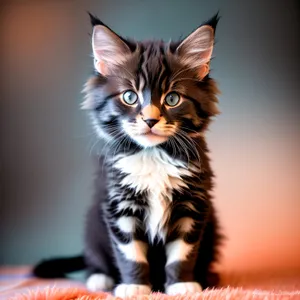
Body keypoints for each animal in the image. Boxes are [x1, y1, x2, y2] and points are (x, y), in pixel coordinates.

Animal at [34, 12, 224, 296]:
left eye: (172, 99)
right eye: (129, 96)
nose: (150, 120)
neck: (153, 155)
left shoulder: (193, 206)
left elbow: (183, 253)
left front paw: (181, 284)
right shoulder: (119, 206)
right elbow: (130, 253)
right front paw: (134, 286)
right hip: (93, 224)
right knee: (94, 258)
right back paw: (100, 278)